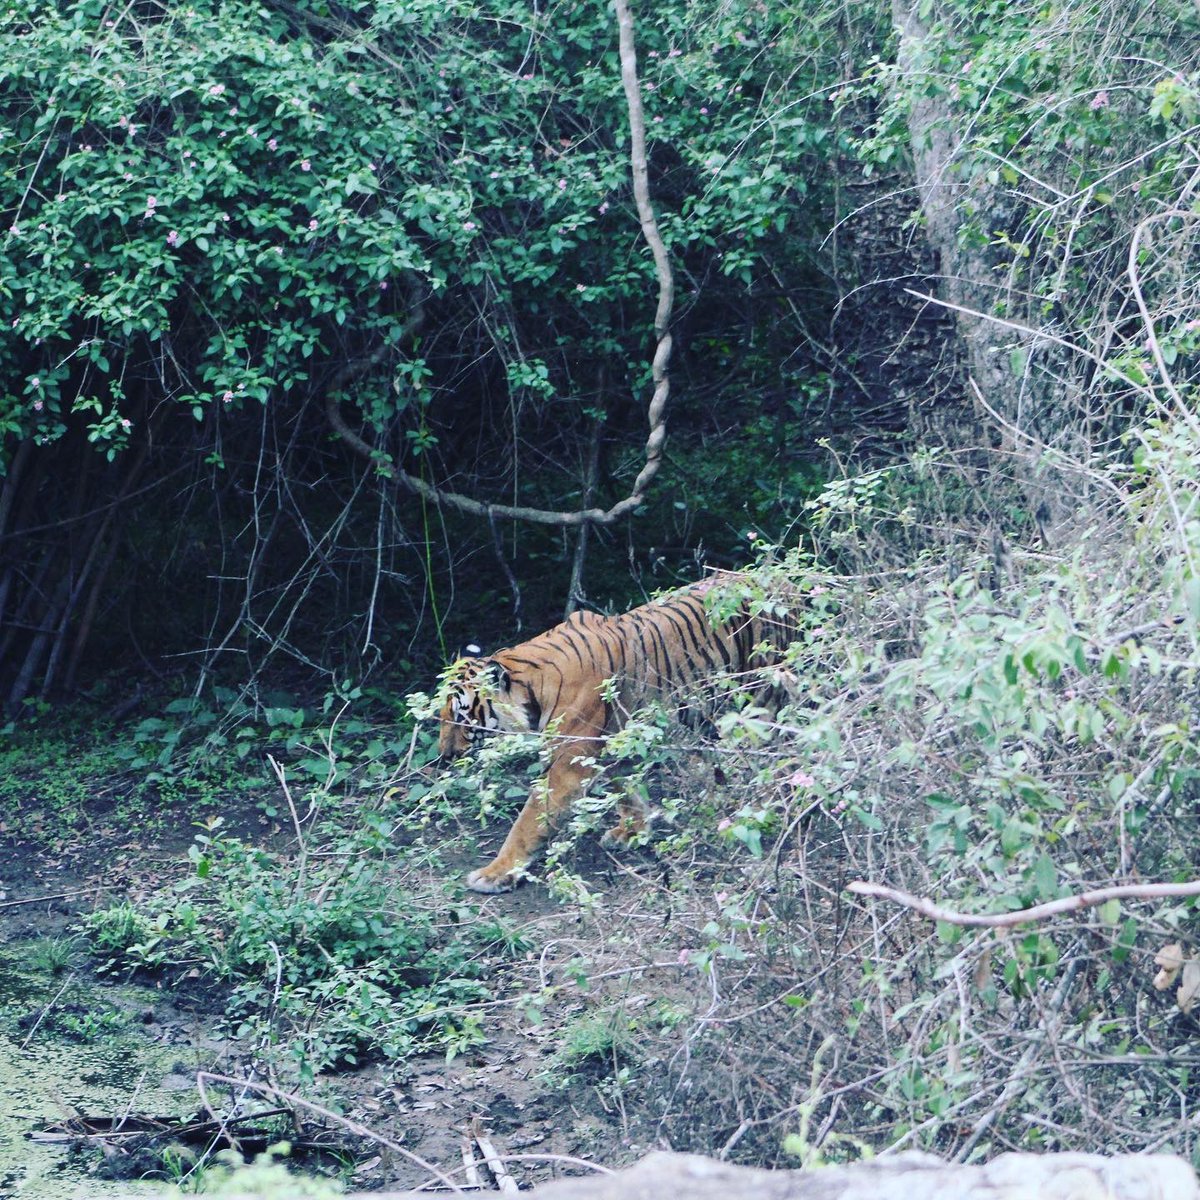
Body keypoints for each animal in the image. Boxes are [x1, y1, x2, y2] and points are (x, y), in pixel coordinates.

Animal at [437, 573, 798, 893]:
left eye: (462, 716)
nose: (444, 756)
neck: (532, 686)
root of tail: (786, 584)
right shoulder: (613, 742)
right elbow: (625, 789)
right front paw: (633, 832)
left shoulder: (568, 762)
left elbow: (528, 821)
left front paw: (495, 873)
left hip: (763, 703)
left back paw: (760, 814)